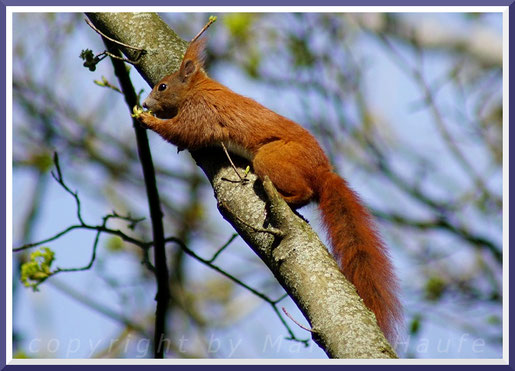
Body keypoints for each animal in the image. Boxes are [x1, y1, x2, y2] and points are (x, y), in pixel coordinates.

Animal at [136, 38, 404, 342]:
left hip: (269, 159)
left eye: (162, 87)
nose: (145, 104)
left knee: (304, 191)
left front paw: (148, 121)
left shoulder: (201, 112)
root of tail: (322, 170)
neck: (198, 88)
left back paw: (283, 200)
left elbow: (183, 132)